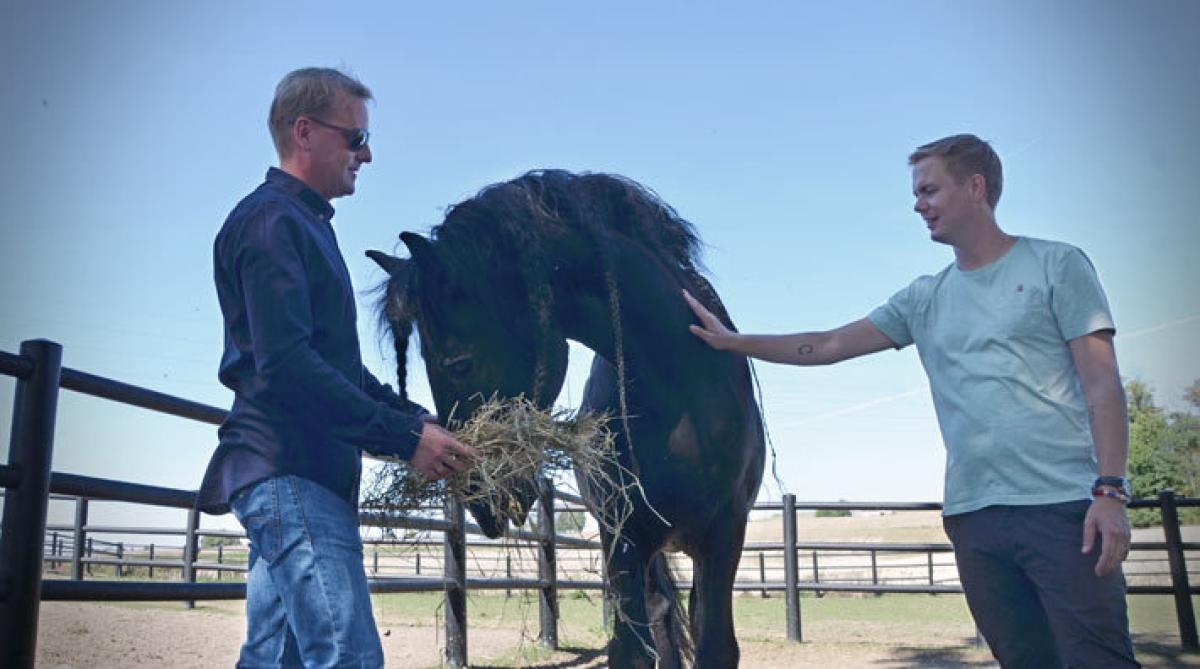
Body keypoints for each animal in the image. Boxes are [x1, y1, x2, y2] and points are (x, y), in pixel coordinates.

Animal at [369, 170, 768, 666]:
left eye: (459, 363)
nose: (480, 500)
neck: (680, 386)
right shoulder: (622, 534)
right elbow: (633, 647)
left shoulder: (724, 532)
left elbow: (714, 645)